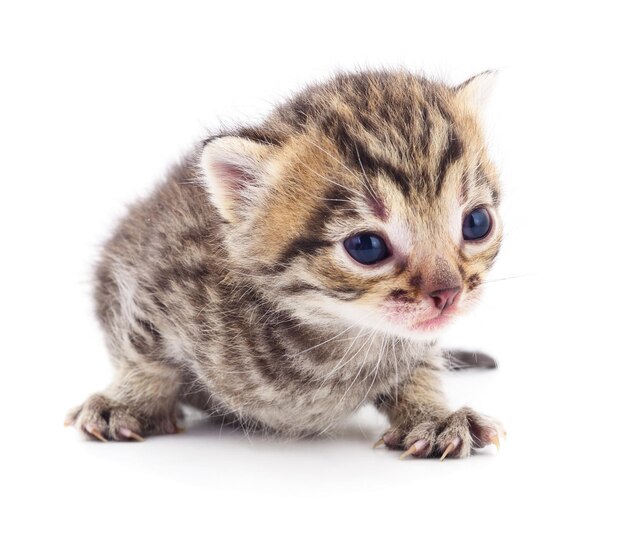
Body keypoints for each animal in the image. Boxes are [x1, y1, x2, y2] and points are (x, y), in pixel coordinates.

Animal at [66, 68, 502, 460]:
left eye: (476, 223)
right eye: (366, 246)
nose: (448, 293)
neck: (335, 336)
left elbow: (420, 369)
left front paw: (431, 414)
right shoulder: (149, 271)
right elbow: (142, 351)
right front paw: (128, 401)